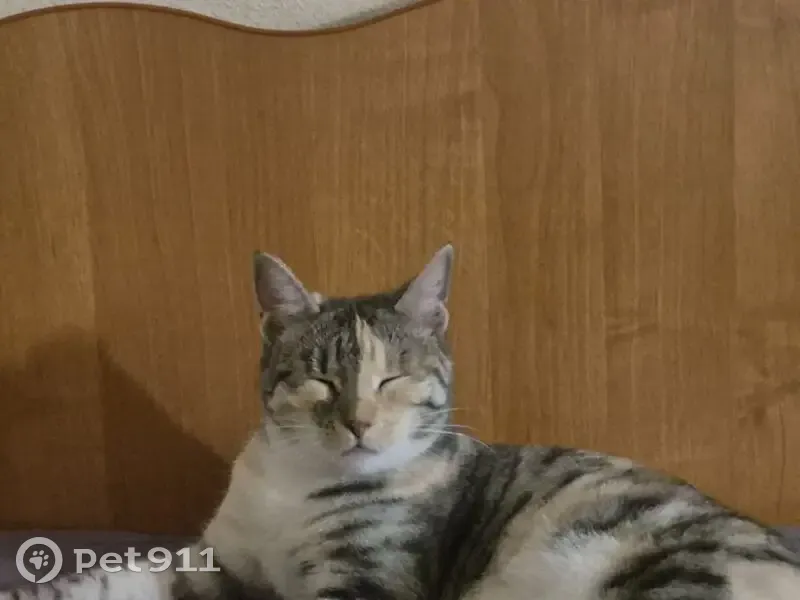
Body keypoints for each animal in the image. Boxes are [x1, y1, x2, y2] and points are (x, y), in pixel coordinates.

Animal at [5, 243, 799, 600]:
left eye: (393, 376)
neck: (295, 485)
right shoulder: (217, 561)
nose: (358, 421)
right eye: (321, 376)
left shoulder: (366, 580)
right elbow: (110, 582)